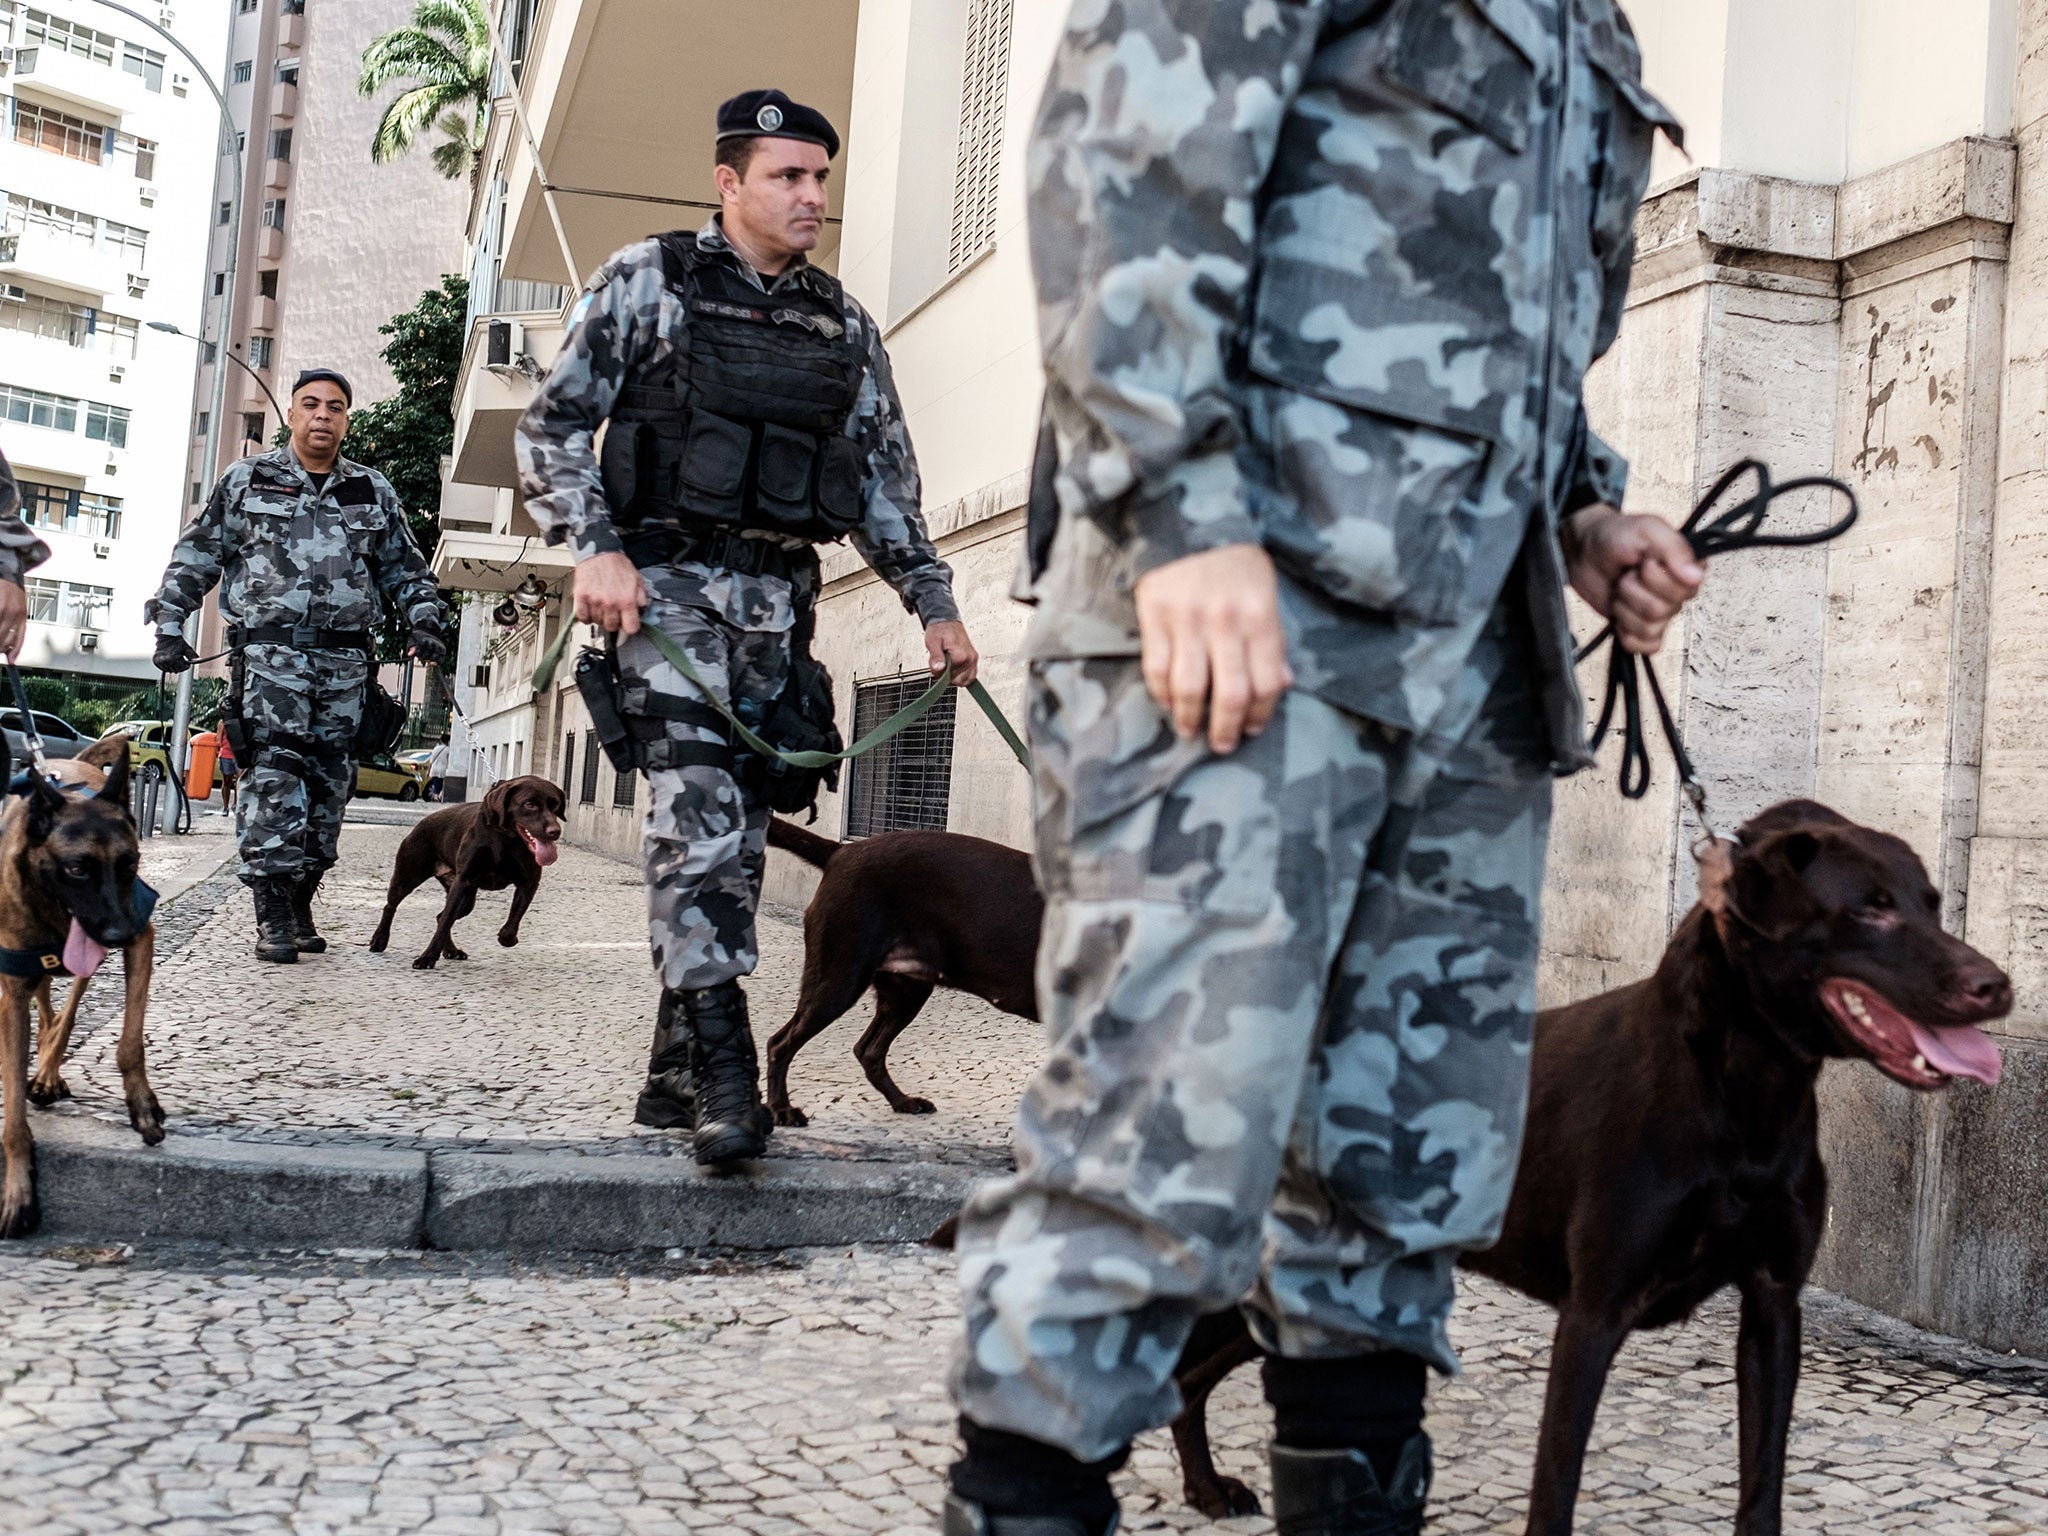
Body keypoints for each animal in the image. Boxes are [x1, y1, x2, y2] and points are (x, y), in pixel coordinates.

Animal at [0, 741, 160, 1245]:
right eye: (76, 869)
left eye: (130, 864)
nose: (117, 933)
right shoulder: (12, 992)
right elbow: (13, 1112)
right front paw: (17, 1191)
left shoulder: (141, 942)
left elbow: (130, 1043)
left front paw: (142, 1107)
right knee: (50, 1005)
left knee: (66, 1012)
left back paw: (50, 1067)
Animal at [370, 782, 565, 974]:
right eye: (529, 804)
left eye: (556, 806)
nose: (555, 831)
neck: (505, 838)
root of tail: (422, 822)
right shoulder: (463, 882)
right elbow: (445, 921)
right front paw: (427, 958)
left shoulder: (528, 883)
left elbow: (513, 919)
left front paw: (507, 938)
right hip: (408, 877)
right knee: (391, 907)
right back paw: (379, 939)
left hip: (466, 901)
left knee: (440, 916)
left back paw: (451, 950)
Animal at [765, 819, 1048, 1130]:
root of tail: (841, 852)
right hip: (838, 980)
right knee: (779, 1044)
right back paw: (782, 1109)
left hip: (905, 991)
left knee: (869, 1051)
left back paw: (901, 1101)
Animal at [856, 811, 2007, 1531]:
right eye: (1868, 907)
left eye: (1930, 897)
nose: (1995, 984)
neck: (1738, 1098)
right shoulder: (1594, 1315)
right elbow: (1555, 1486)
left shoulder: (1771, 1309)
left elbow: (1761, 1481)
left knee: (1185, 1379)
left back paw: (1206, 1491)